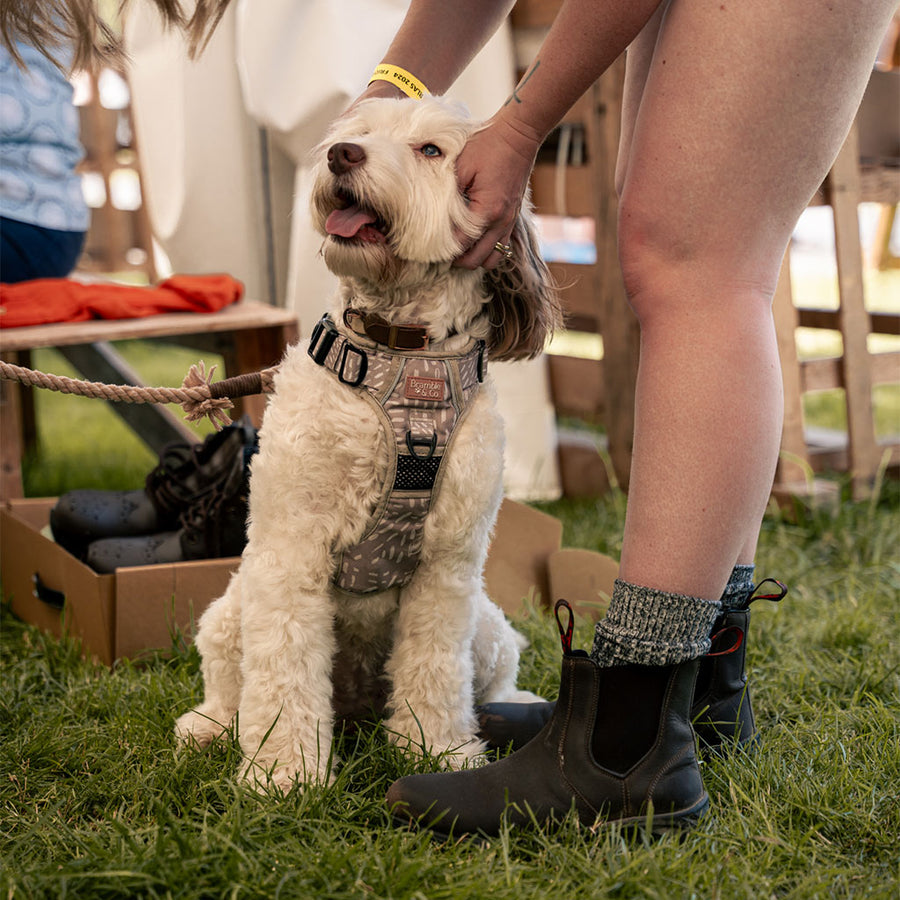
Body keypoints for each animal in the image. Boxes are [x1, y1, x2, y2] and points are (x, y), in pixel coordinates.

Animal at [172, 95, 560, 792]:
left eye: (431, 150)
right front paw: (284, 774)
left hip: (487, 625)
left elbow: (434, 670)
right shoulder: (290, 548)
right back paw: (209, 728)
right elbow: (282, 672)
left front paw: (440, 753)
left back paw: (513, 710)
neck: (400, 353)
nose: (341, 155)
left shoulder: (448, 566)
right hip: (230, 611)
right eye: (357, 132)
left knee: (495, 675)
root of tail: (352, 706)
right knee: (227, 682)